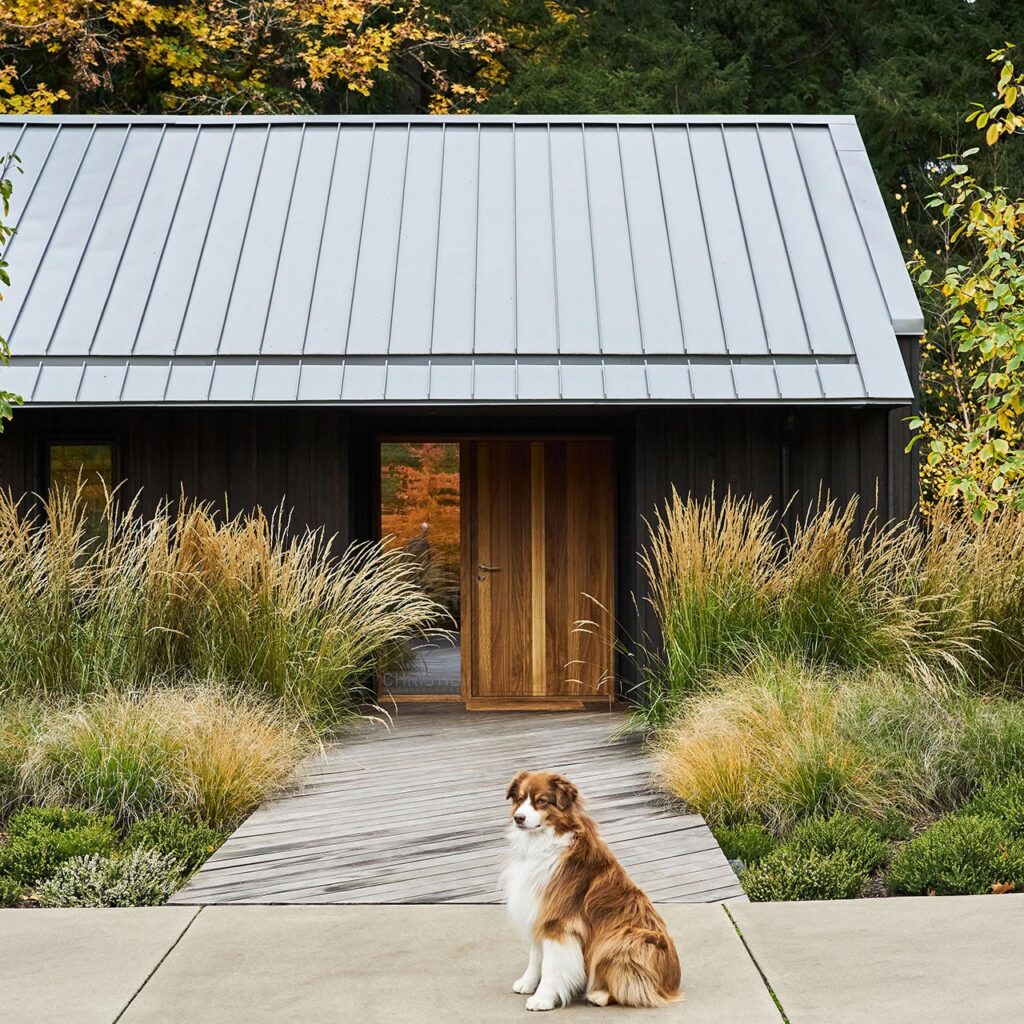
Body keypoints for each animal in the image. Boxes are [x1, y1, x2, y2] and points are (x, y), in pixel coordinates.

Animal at [501, 770, 684, 1007]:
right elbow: (536, 957)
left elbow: (551, 966)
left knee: (637, 990)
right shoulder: (538, 912)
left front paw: (543, 998)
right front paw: (527, 983)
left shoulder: (558, 922)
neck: (544, 843)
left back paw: (599, 995)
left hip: (623, 938)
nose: (518, 818)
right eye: (520, 799)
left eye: (542, 801)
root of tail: (671, 985)